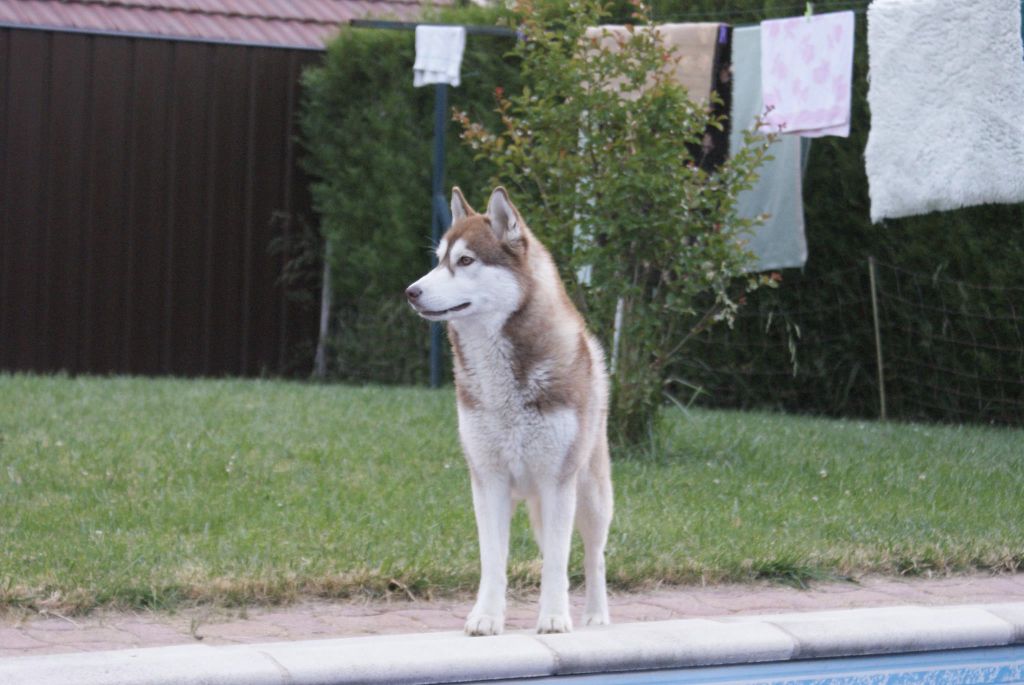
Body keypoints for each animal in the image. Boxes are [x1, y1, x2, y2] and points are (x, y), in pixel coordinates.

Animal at [405, 187, 610, 634]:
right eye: (438, 260)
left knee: (593, 554)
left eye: (466, 261)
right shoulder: (488, 481)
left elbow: (559, 562)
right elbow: (493, 560)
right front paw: (486, 617)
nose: (411, 291)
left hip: (590, 495)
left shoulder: (557, 482)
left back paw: (595, 614)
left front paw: (554, 617)